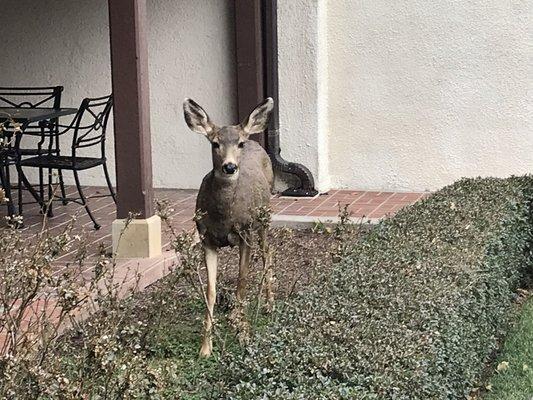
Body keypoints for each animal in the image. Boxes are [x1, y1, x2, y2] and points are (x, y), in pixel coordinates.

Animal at [183, 96, 274, 356]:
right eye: (215, 143)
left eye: (239, 143)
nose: (230, 167)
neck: (224, 217)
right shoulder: (206, 238)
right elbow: (211, 290)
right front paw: (205, 347)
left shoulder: (245, 233)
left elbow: (242, 281)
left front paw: (242, 332)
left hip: (264, 219)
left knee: (268, 254)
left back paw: (269, 305)